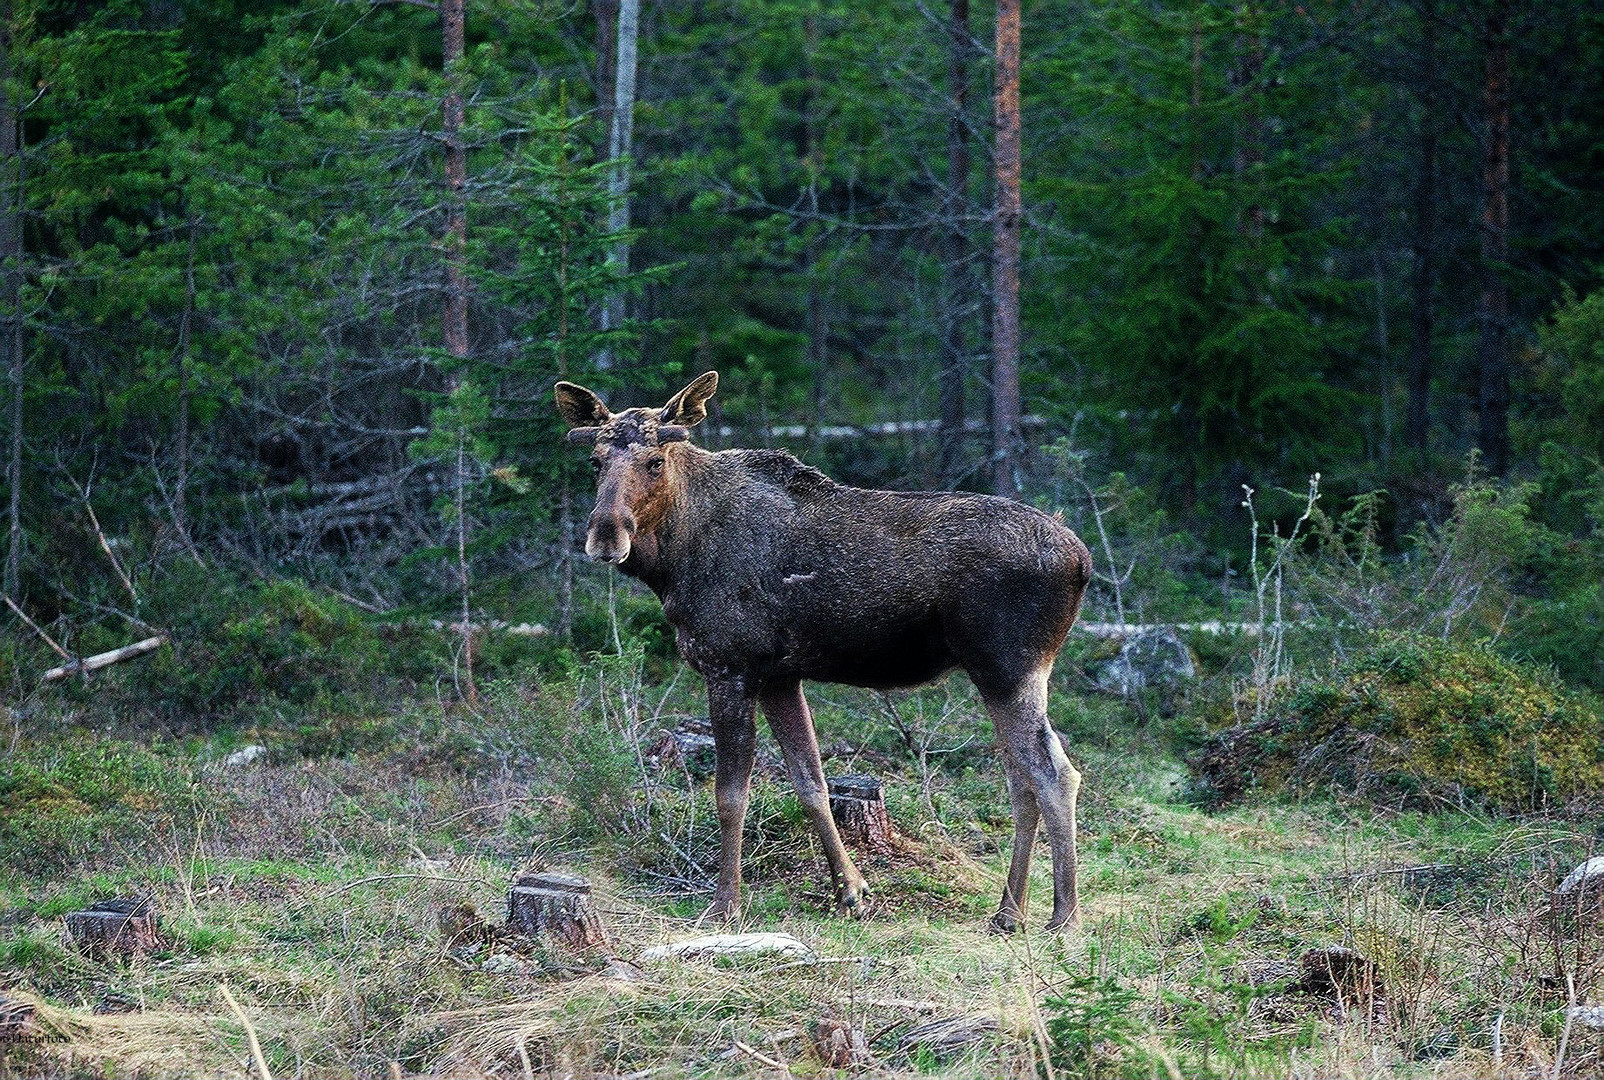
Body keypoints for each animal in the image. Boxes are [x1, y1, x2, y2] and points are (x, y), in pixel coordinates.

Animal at [558, 370, 1097, 924]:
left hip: (1009, 667)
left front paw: (726, 903)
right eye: (595, 460)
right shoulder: (779, 675)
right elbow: (810, 781)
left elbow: (730, 793)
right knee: (1020, 779)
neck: (671, 563)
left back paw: (1063, 918)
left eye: (655, 461)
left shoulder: (730, 664)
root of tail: (1082, 561)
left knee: (1055, 774)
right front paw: (851, 891)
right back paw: (1009, 911)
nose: (605, 537)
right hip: (1000, 674)